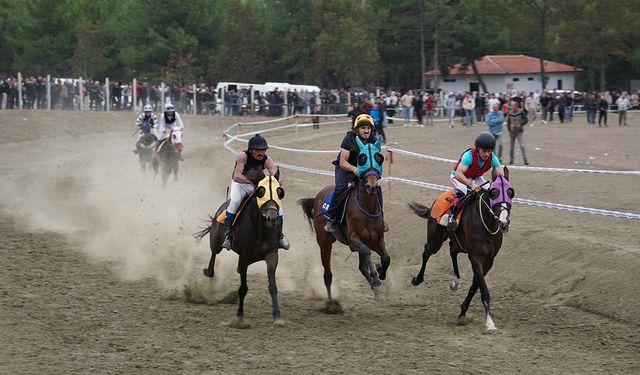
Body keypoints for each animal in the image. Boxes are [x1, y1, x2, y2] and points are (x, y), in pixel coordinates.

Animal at [194, 173, 286, 328]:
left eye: (279, 192)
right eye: (260, 192)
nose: (272, 218)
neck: (260, 230)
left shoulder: (272, 255)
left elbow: (273, 286)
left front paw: (278, 316)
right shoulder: (244, 257)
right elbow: (243, 288)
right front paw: (240, 317)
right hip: (216, 241)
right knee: (214, 254)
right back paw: (209, 271)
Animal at [298, 136, 390, 312]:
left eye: (379, 158)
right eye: (361, 158)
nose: (372, 186)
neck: (366, 208)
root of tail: (318, 197)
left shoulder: (377, 239)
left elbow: (385, 258)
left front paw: (379, 274)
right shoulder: (354, 240)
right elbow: (367, 252)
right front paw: (376, 281)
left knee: (361, 267)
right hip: (324, 242)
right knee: (327, 274)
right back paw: (331, 304)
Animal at [410, 167, 516, 332]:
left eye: (511, 192)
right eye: (494, 193)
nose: (504, 223)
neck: (487, 224)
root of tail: (434, 203)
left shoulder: (489, 260)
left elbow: (475, 285)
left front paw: (462, 312)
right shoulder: (475, 256)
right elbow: (483, 288)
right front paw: (490, 322)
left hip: (460, 243)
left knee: (452, 249)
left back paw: (455, 281)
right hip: (435, 240)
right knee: (427, 251)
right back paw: (417, 279)